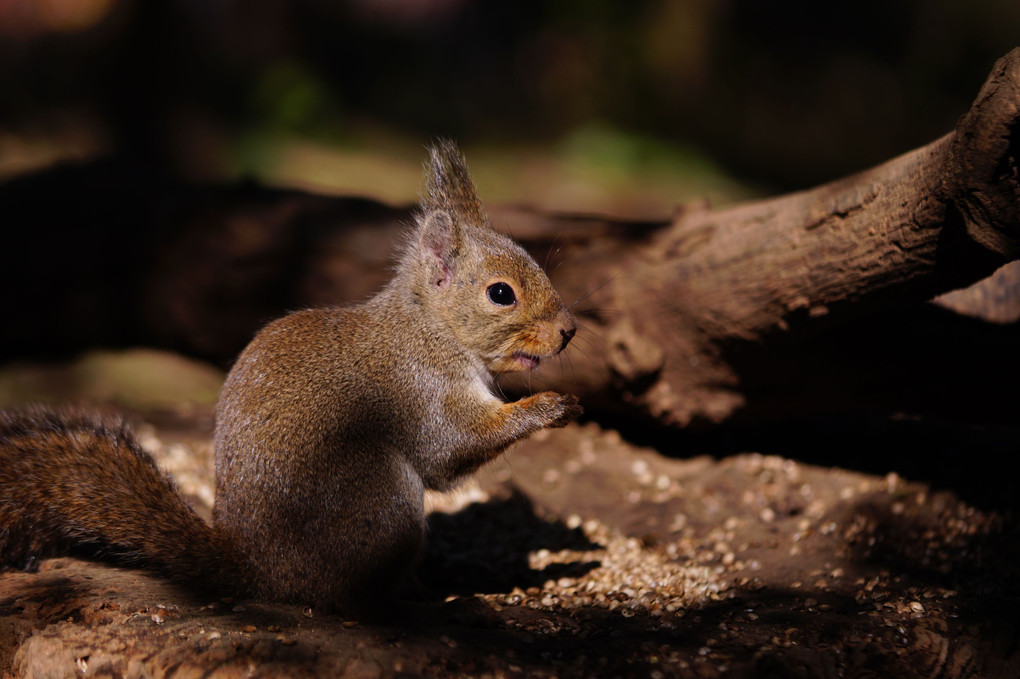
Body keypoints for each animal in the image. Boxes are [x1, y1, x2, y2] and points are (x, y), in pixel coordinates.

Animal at [0, 141, 583, 619]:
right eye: (501, 293)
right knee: (349, 600)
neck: (431, 329)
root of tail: (257, 570)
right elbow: (450, 448)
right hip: (379, 501)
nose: (569, 331)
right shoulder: (421, 389)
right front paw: (551, 406)